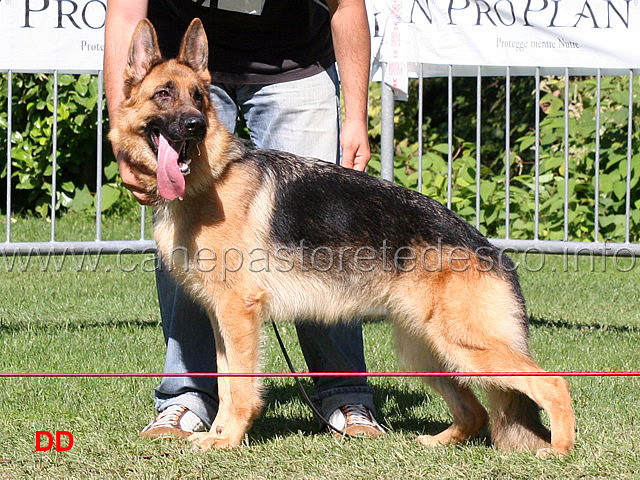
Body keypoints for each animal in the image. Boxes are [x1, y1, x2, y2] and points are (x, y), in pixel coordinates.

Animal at [107, 17, 576, 454]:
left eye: (198, 98)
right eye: (163, 94)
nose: (194, 126)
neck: (211, 178)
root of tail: (491, 251)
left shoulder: (238, 314)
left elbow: (239, 388)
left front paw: (228, 440)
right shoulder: (222, 319)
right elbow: (224, 383)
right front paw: (219, 434)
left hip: (465, 346)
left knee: (554, 383)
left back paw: (559, 451)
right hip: (426, 351)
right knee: (476, 411)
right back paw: (438, 441)